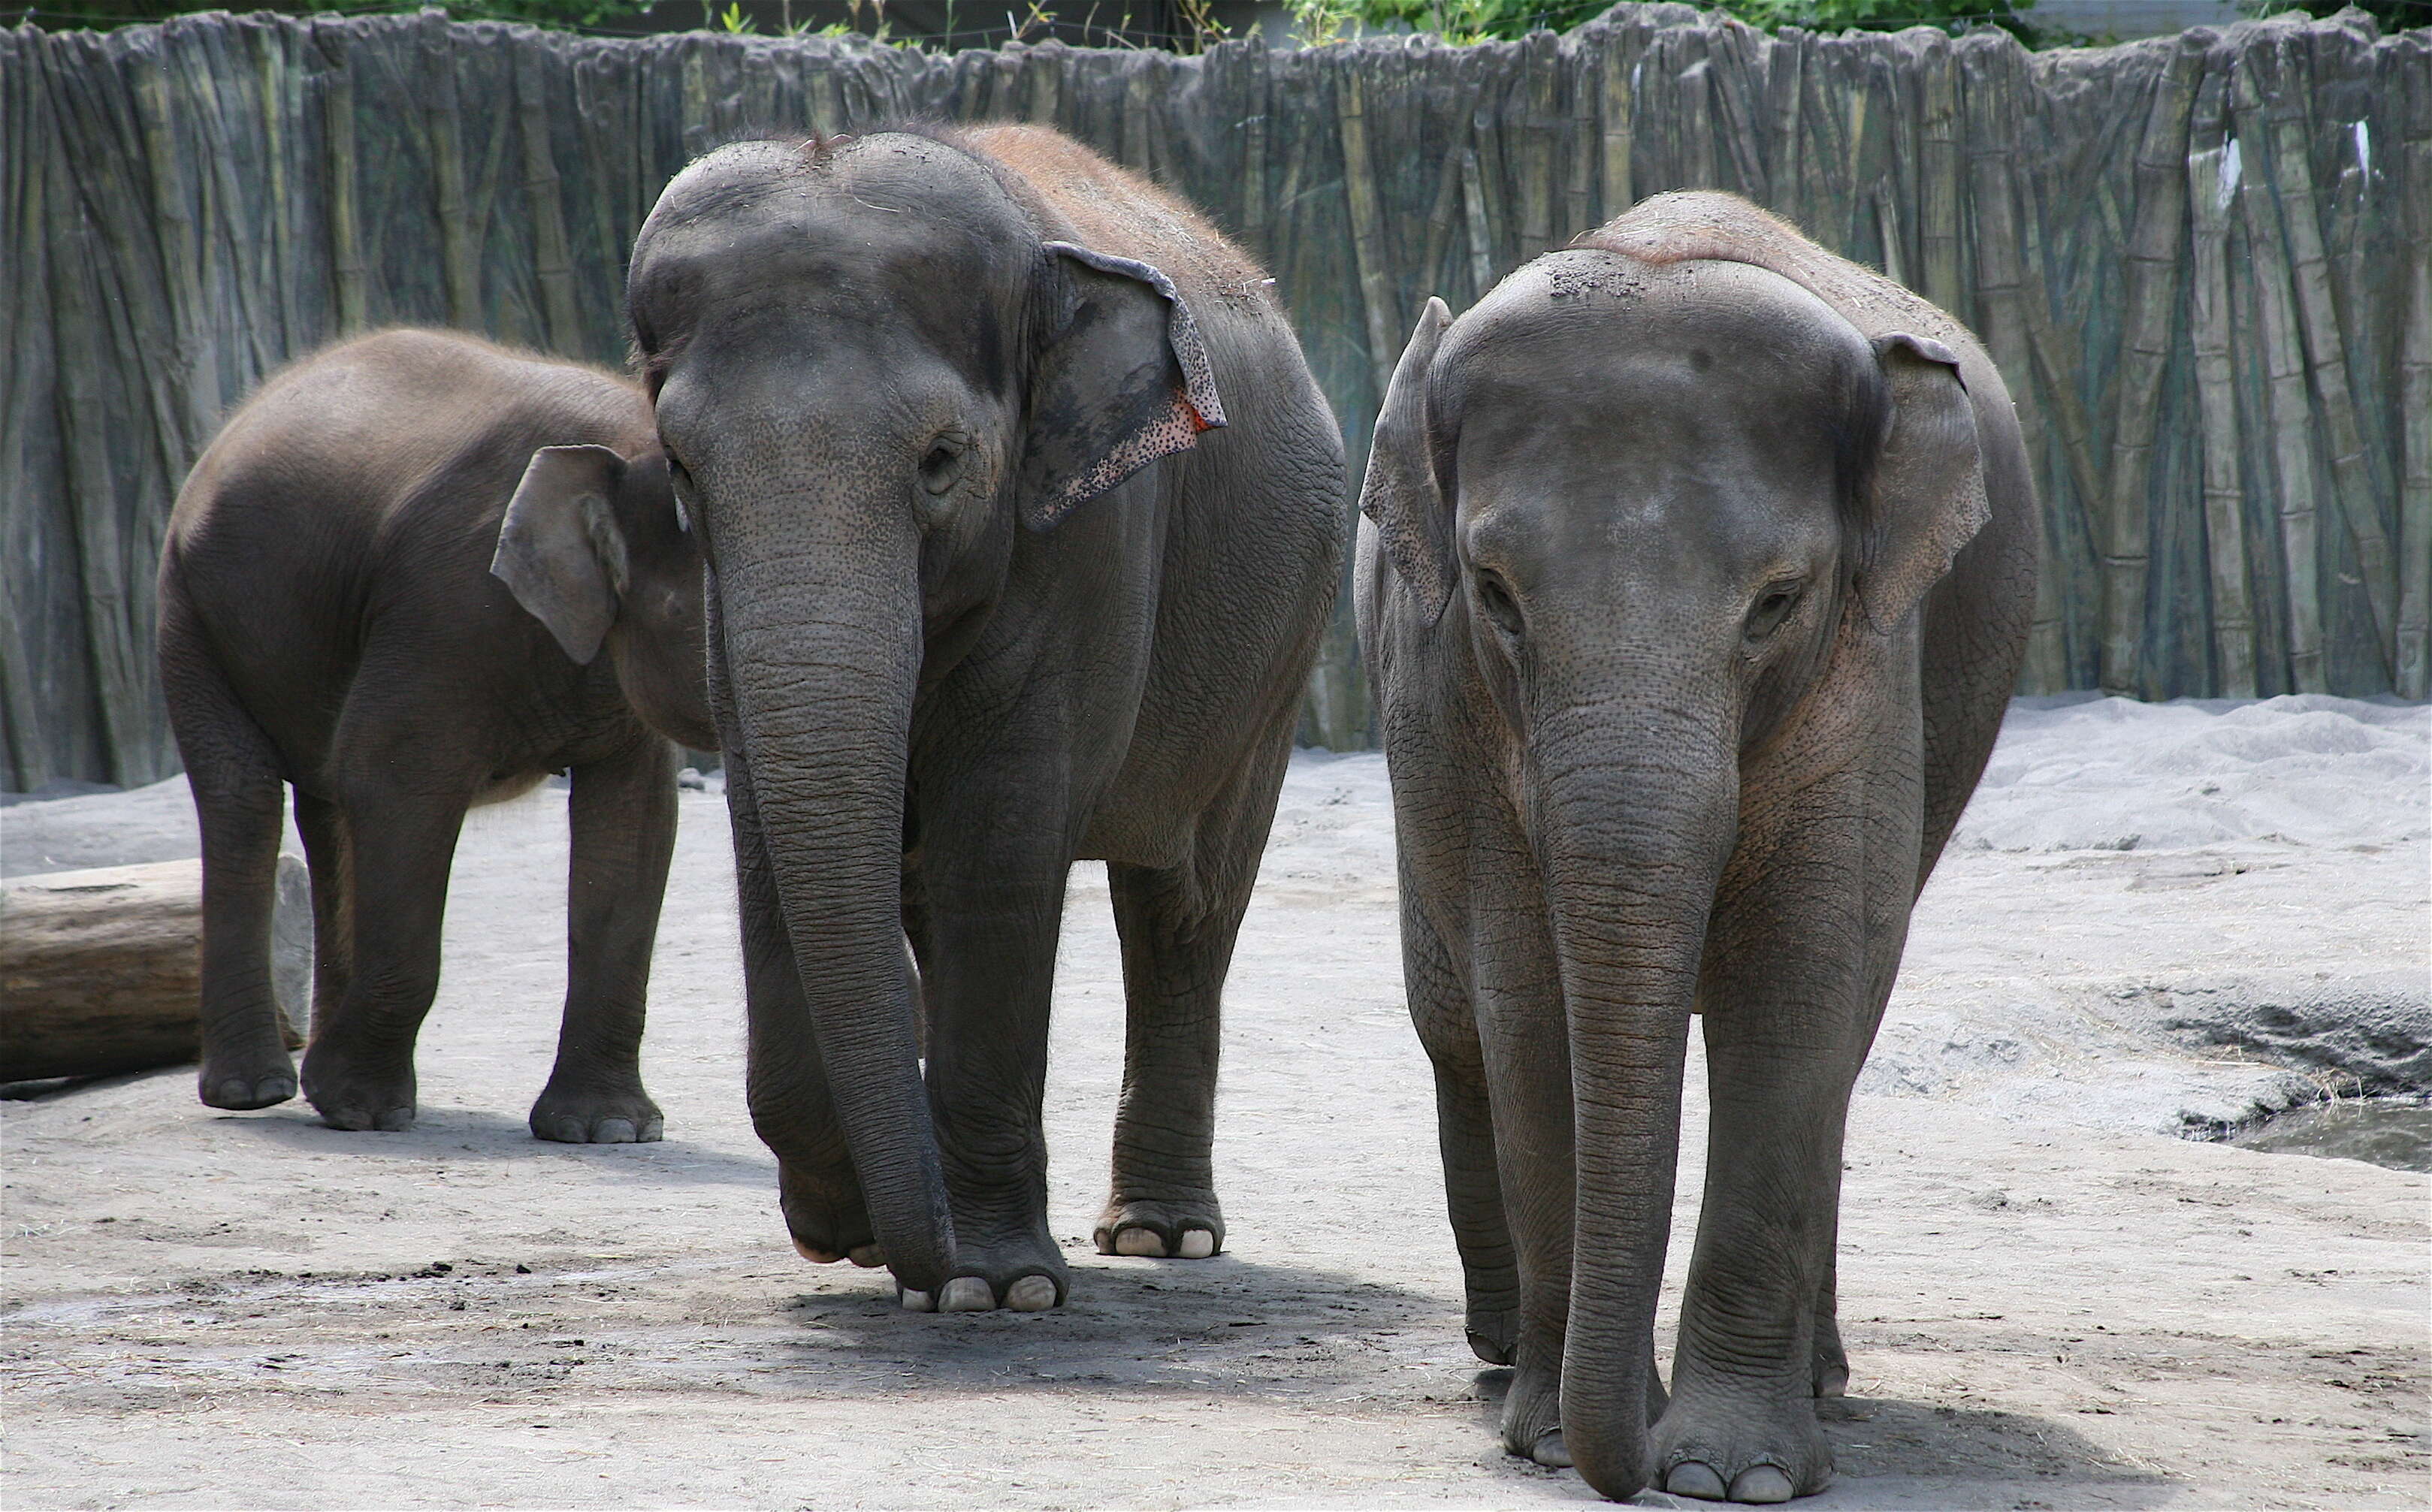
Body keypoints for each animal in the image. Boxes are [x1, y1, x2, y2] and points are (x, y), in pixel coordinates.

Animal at [156, 325, 710, 1142]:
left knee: (327, 804)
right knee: (245, 796)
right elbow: (395, 782)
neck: (621, 440)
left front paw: (607, 1131)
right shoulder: (447, 609)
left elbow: (636, 819)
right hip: (190, 610)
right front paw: (357, 1107)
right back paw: (257, 1093)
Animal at [606, 127, 1332, 1312]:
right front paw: (861, 1233)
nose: (914, 1254)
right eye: (679, 468)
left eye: (942, 460)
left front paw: (995, 1287)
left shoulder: (1092, 541)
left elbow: (1001, 840)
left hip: (1285, 645)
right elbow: (771, 826)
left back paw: (1159, 1236)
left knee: (1184, 907)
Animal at [1361, 189, 2043, 1507]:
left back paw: (1820, 1379)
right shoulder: (1447, 694)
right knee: (1453, 1022)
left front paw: (1735, 1473)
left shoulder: (1865, 673)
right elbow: (1527, 1002)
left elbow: (1797, 988)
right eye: (1493, 591)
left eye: (1777, 601)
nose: (1619, 1458)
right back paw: (1503, 1355)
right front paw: (1549, 1438)